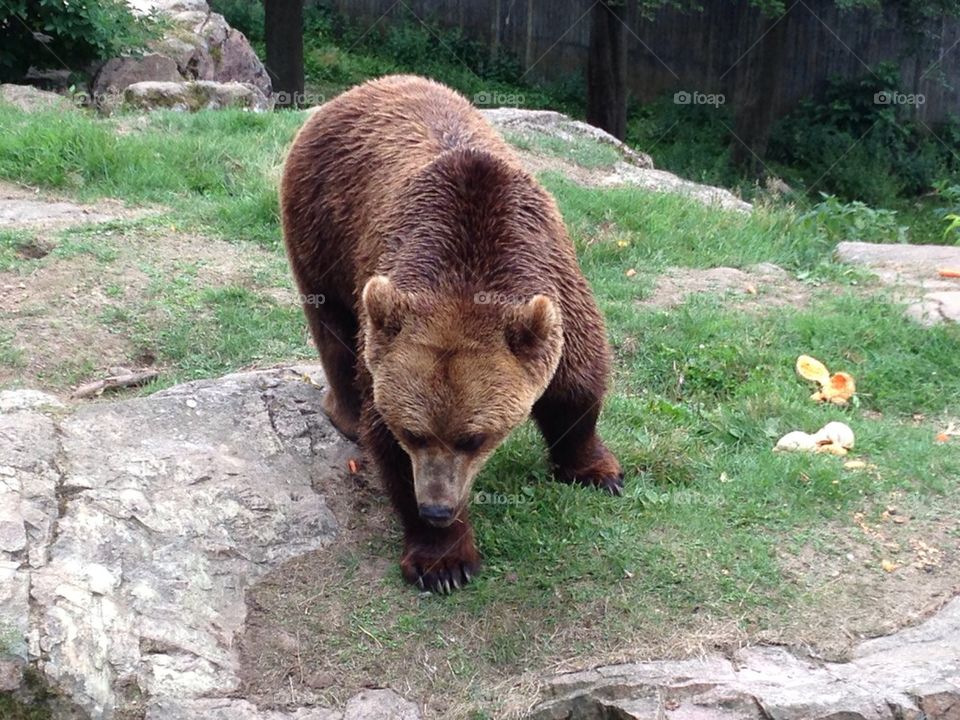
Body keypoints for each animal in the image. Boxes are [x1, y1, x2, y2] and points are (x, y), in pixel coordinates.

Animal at [281, 75, 622, 593]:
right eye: (414, 432)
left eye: (474, 438)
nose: (438, 507)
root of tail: (358, 90)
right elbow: (385, 440)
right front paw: (443, 563)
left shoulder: (556, 282)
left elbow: (577, 385)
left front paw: (598, 470)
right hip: (321, 226)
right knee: (333, 328)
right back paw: (347, 415)